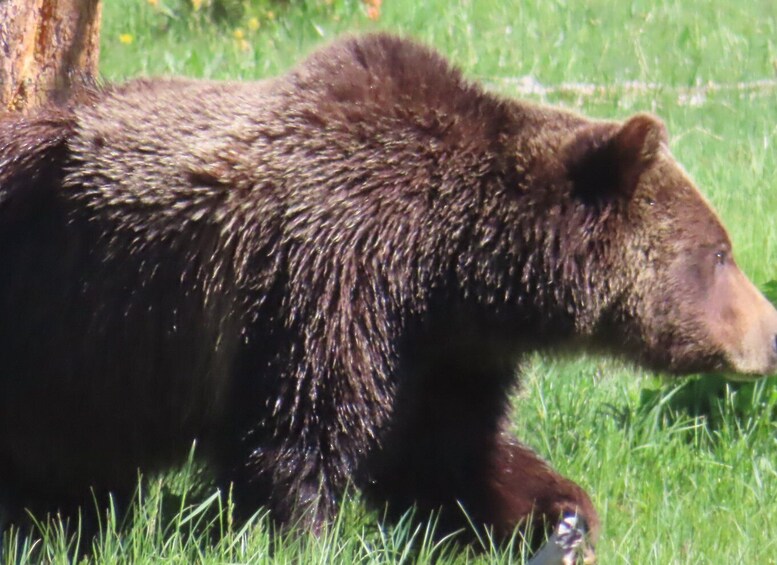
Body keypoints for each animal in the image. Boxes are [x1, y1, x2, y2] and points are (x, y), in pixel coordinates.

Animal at [1, 33, 776, 556]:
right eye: (720, 253)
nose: (770, 334)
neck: (448, 264)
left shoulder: (443, 350)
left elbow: (447, 455)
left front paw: (557, 512)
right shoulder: (325, 283)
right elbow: (296, 444)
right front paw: (300, 535)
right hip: (68, 315)